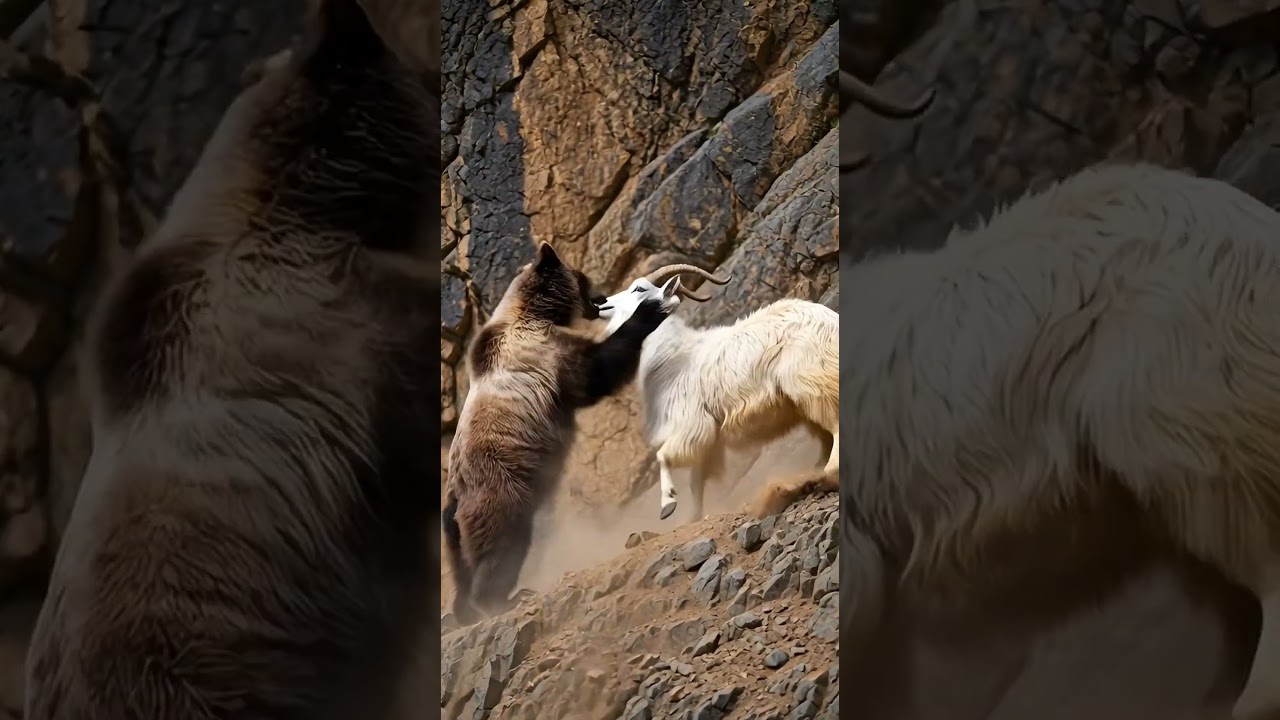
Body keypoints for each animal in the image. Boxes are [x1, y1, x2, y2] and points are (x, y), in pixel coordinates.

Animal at [597, 266, 838, 522]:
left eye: (639, 288)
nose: (602, 303)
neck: (676, 358)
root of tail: (831, 322)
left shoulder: (692, 426)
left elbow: (664, 457)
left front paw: (668, 505)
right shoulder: (708, 439)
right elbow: (695, 481)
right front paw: (694, 517)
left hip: (813, 384)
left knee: (835, 425)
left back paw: (824, 475)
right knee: (825, 436)